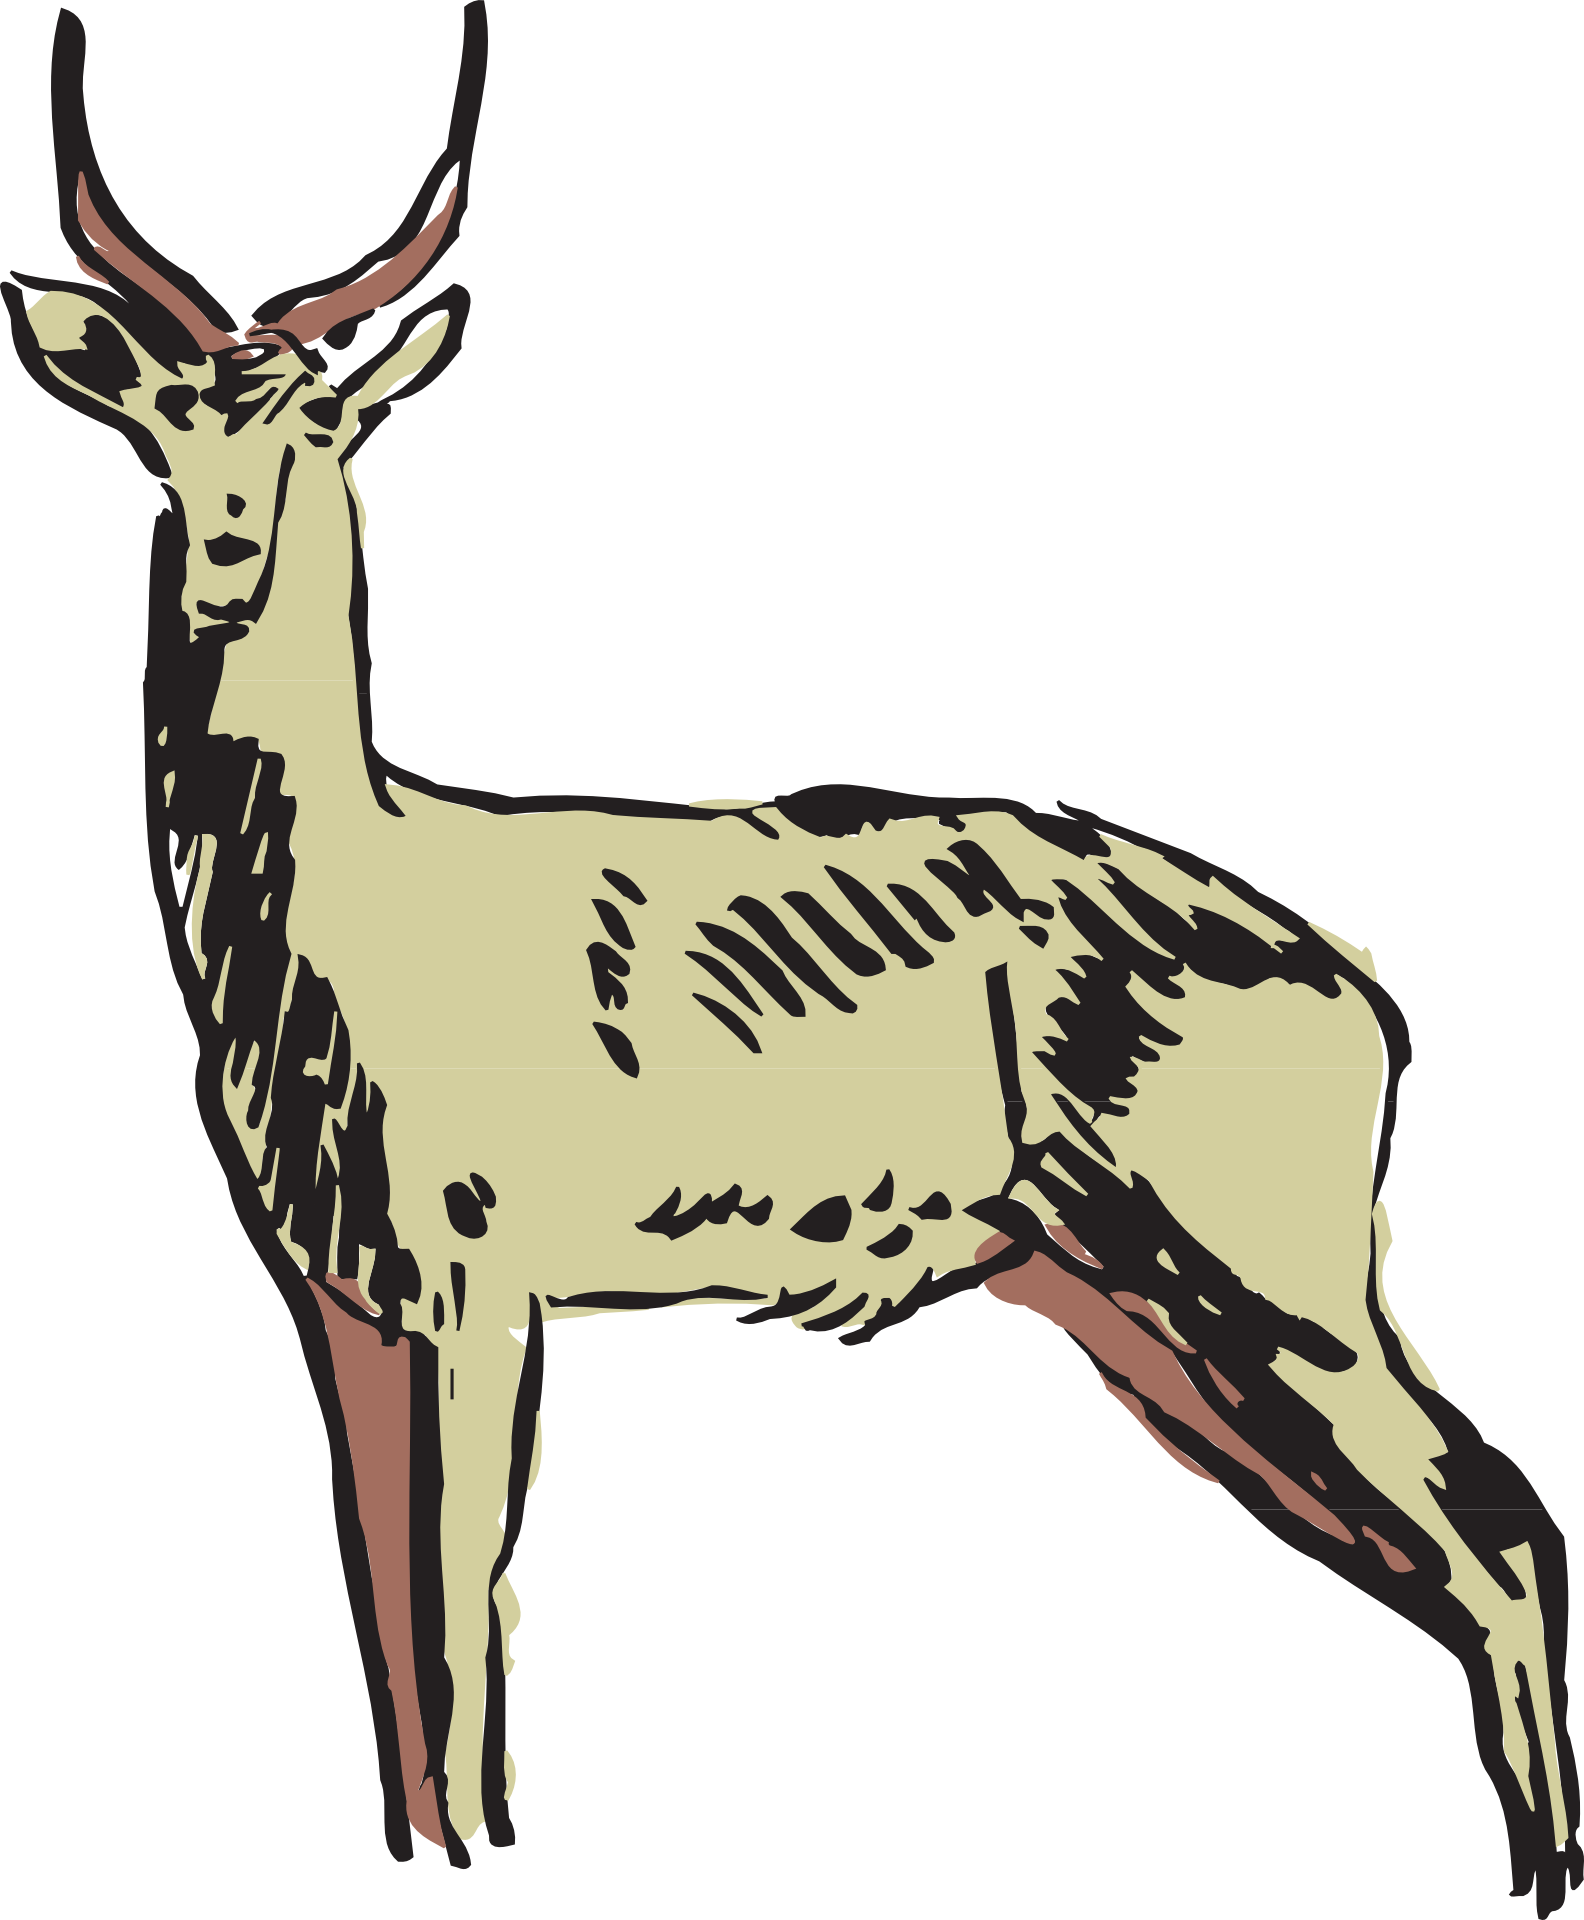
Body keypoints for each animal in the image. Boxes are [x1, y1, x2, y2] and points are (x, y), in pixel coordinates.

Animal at [6, 5, 1578, 1912]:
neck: (354, 921)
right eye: (158, 416)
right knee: (1456, 1547)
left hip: (1270, 1282)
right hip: (1132, 1318)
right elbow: (390, 1648)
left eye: (321, 417)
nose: (229, 551)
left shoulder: (481, 1295)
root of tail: (1368, 998)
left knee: (1501, 1525)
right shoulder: (339, 1304)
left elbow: (463, 1640)